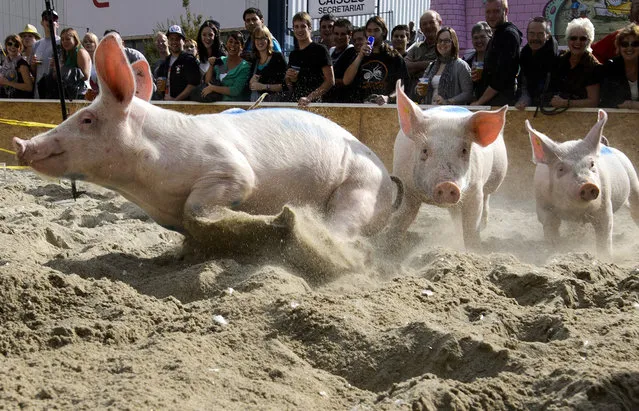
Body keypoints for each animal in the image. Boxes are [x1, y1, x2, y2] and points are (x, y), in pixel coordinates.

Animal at [12, 35, 398, 241]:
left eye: (87, 119)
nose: (21, 145)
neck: (145, 185)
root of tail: (390, 182)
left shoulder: (230, 169)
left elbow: (201, 205)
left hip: (359, 188)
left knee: (342, 227)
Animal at [384, 80, 510, 248]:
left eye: (464, 150)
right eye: (425, 150)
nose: (446, 184)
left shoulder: (475, 189)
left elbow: (471, 227)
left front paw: (475, 249)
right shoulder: (406, 186)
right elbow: (400, 220)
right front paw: (388, 247)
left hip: (497, 175)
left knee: (486, 197)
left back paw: (483, 225)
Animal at [524, 111, 639, 256]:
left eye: (592, 164)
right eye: (561, 169)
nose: (588, 185)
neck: (576, 210)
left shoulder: (605, 203)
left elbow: (604, 232)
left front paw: (605, 257)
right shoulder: (542, 204)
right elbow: (550, 225)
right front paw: (555, 249)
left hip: (633, 180)